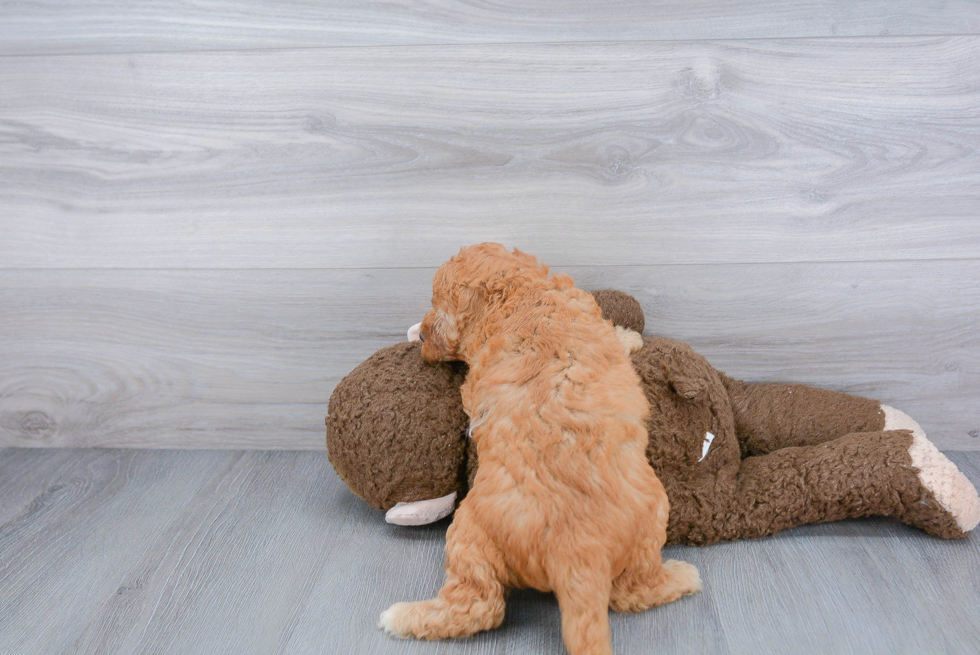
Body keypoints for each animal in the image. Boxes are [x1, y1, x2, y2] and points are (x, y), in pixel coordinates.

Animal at [378, 245, 700, 655]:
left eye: (439, 308)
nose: (420, 334)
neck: (519, 295)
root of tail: (577, 552)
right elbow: (615, 336)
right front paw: (629, 336)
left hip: (476, 533)